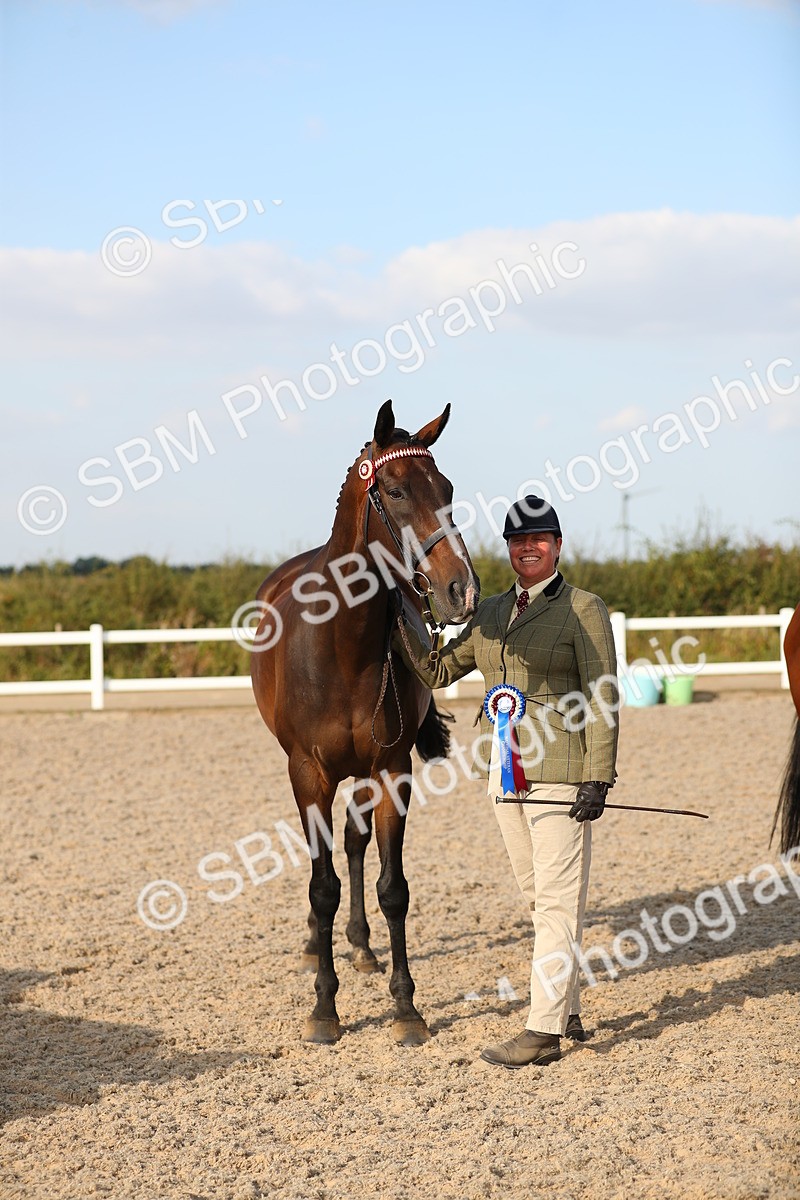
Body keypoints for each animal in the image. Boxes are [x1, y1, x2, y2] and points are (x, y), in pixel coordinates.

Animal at [250, 400, 480, 1045]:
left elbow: (391, 888)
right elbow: (321, 884)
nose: (461, 590)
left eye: (448, 489)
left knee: (353, 845)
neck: (343, 644)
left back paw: (359, 946)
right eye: (396, 491)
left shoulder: (391, 770)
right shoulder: (308, 774)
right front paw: (324, 1009)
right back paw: (318, 946)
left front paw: (405, 1008)